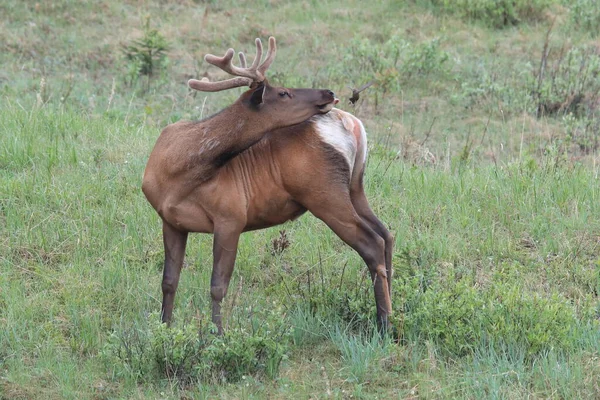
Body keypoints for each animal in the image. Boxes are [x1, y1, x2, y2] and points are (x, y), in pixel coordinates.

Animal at [141, 38, 394, 334]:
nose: (329, 92)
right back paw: (394, 310)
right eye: (283, 93)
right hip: (354, 188)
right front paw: (164, 328)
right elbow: (169, 281)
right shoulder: (171, 221)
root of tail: (352, 123)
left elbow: (218, 286)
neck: (178, 172)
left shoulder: (231, 216)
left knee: (372, 243)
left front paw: (217, 335)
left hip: (324, 193)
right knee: (386, 235)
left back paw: (385, 323)